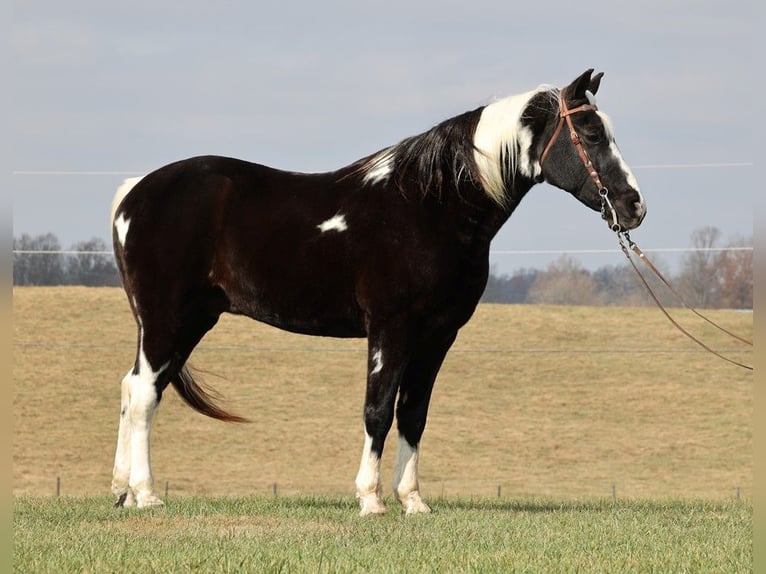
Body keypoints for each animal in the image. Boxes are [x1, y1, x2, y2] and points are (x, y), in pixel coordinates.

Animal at [109, 70, 648, 516]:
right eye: (593, 134)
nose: (634, 206)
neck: (429, 206)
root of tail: (134, 193)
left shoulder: (437, 336)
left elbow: (413, 413)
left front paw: (412, 501)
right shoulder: (392, 329)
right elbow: (378, 408)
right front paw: (370, 500)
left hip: (188, 321)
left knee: (133, 387)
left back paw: (122, 491)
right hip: (167, 319)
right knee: (145, 394)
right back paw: (148, 495)